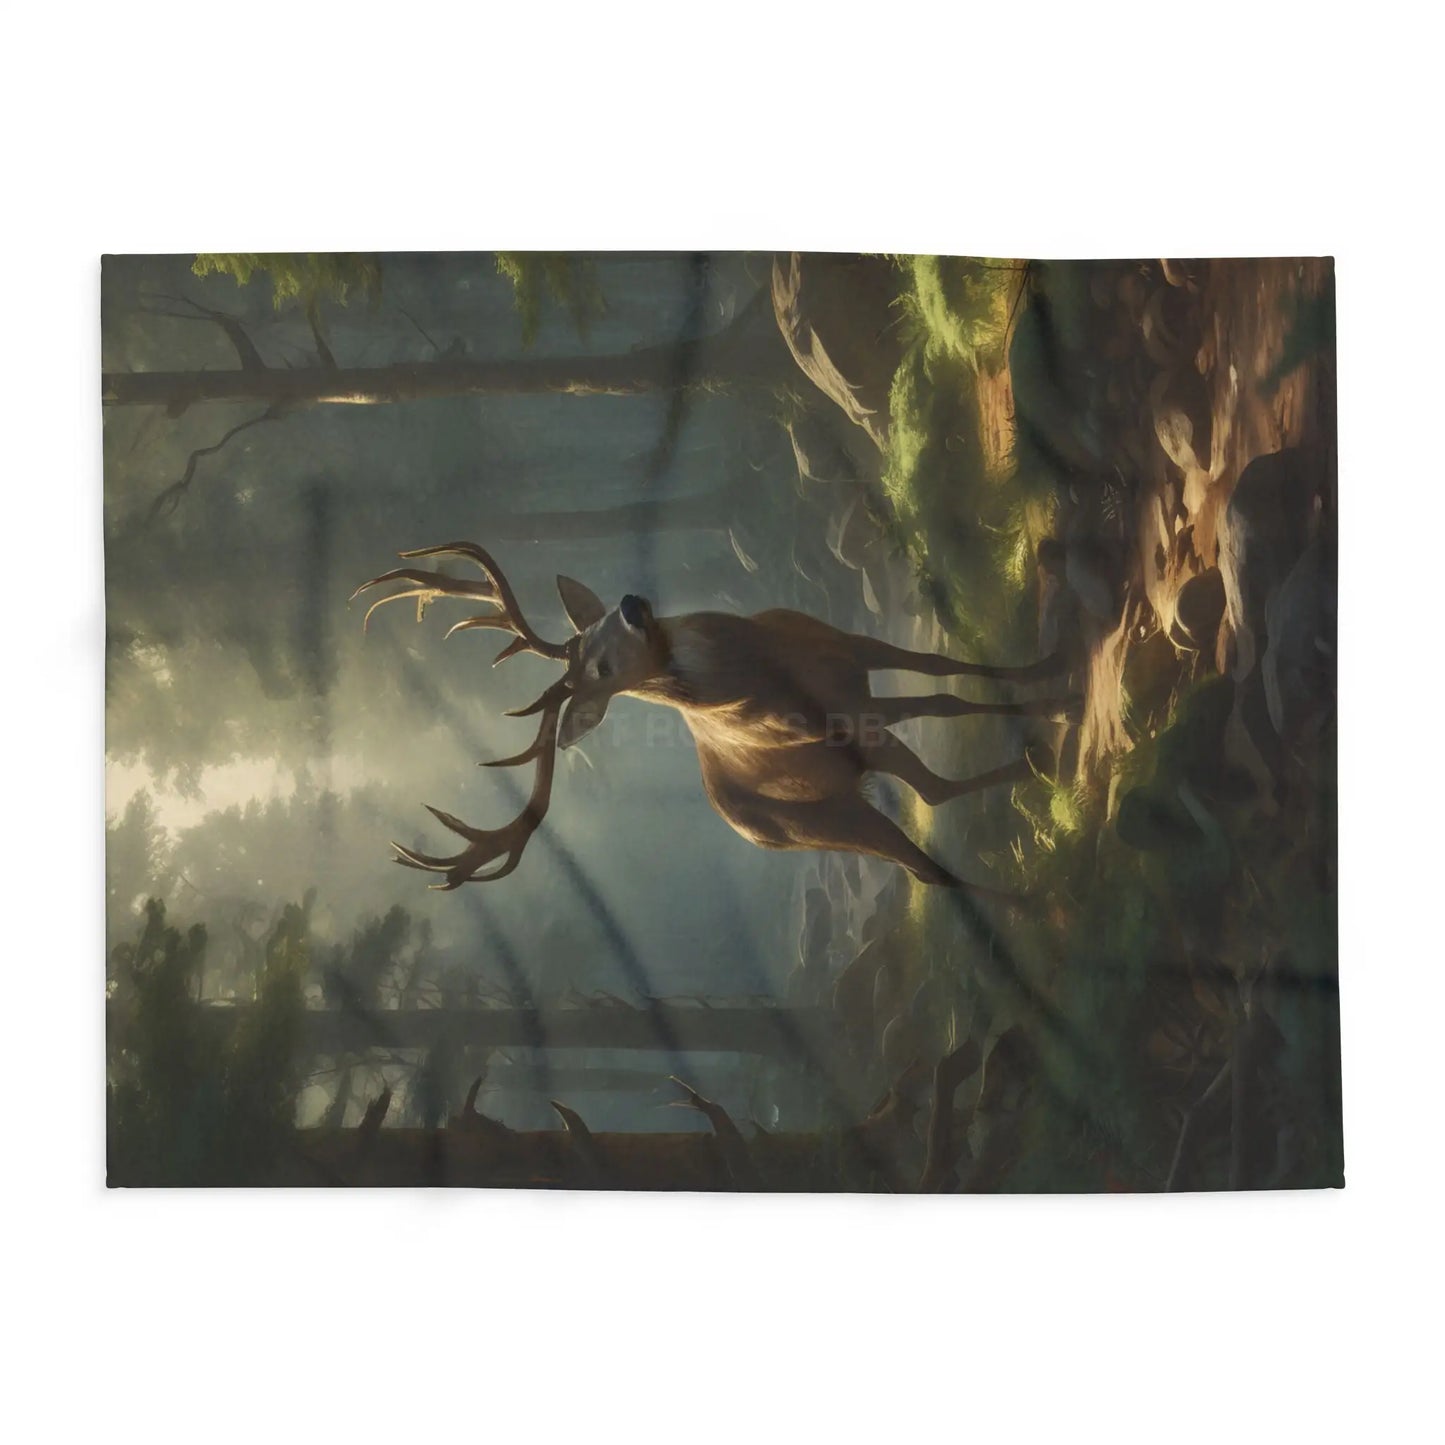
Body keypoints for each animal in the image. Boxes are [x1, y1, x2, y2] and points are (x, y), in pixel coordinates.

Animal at [351, 542, 1072, 900]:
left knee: (931, 793)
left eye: (600, 625)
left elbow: (934, 662)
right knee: (926, 858)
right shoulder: (845, 715)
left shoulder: (846, 648)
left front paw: (1045, 671)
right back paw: (1038, 896)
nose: (633, 603)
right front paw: (1051, 708)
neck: (768, 672)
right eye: (600, 666)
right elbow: (943, 701)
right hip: (823, 820)